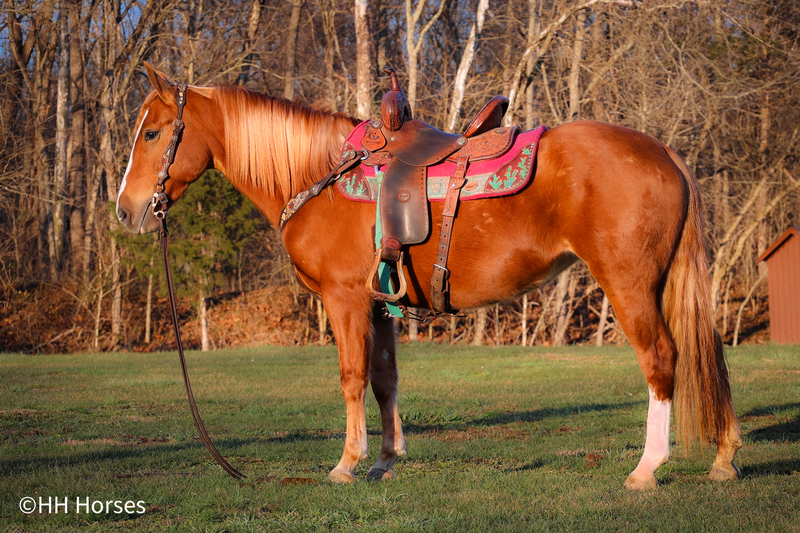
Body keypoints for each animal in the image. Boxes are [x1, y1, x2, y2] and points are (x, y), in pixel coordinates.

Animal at [117, 64, 744, 488]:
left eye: (152, 133)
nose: (126, 211)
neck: (320, 176)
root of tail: (663, 151)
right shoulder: (379, 304)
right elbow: (384, 380)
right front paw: (384, 460)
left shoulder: (345, 301)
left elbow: (351, 377)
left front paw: (346, 464)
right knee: (701, 353)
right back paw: (724, 458)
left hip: (629, 284)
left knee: (661, 358)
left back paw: (646, 468)